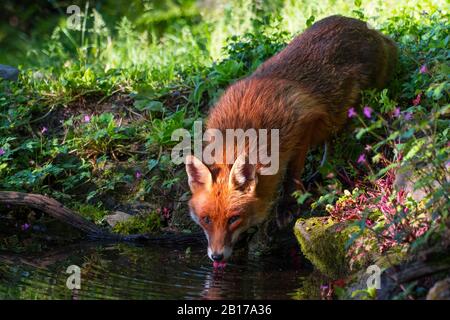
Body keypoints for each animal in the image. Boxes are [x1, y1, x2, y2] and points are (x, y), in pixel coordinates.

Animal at [185, 15, 396, 262]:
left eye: (233, 219)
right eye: (206, 220)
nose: (217, 257)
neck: (242, 132)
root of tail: (367, 27)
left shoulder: (303, 127)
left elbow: (292, 174)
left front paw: (288, 204)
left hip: (354, 107)